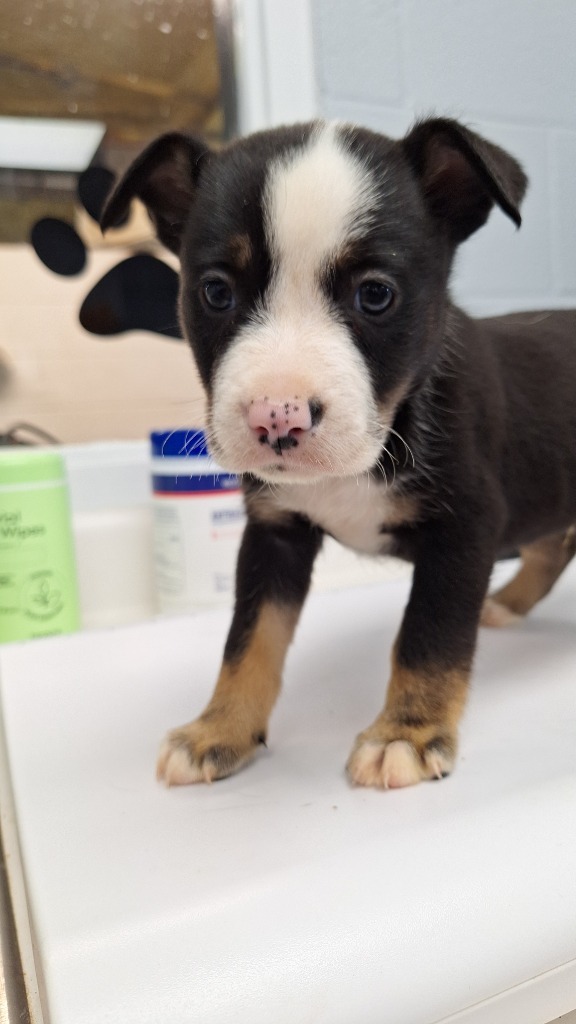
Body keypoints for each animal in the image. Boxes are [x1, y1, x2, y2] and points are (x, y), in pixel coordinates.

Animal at [101, 117, 573, 790]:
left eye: (375, 294)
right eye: (215, 292)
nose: (277, 417)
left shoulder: (464, 528)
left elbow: (429, 636)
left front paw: (407, 733)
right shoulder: (272, 532)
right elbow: (248, 639)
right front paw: (219, 728)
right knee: (551, 544)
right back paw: (509, 603)